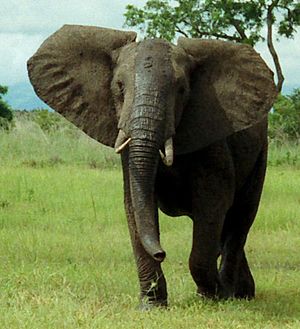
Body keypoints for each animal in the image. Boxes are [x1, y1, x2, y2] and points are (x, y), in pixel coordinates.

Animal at [27, 24, 276, 306]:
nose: (161, 253)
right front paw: (152, 305)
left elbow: (213, 202)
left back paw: (235, 294)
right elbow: (134, 204)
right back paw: (242, 292)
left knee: (240, 218)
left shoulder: (212, 140)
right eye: (119, 87)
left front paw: (212, 297)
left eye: (182, 90)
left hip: (261, 153)